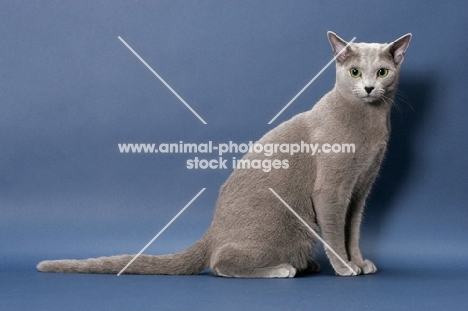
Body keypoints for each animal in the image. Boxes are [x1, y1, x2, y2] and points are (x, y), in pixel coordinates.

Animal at [37, 31, 410, 280]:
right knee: (221, 263)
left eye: (382, 72)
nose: (369, 88)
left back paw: (308, 264)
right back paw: (282, 269)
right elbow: (335, 232)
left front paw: (359, 262)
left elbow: (352, 230)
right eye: (354, 72)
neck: (370, 124)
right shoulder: (331, 191)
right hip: (284, 225)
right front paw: (345, 266)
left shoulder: (361, 189)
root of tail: (211, 231)